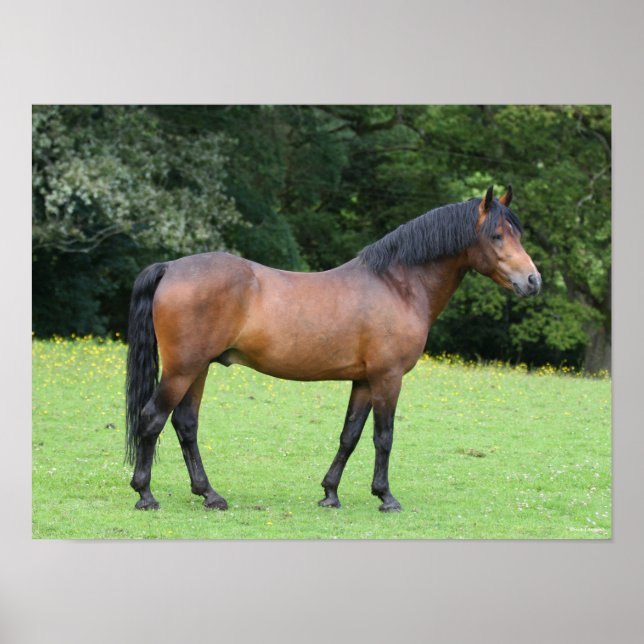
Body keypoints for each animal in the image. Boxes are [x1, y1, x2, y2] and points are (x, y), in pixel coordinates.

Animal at [125, 185, 541, 512]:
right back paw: (145, 494)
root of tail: (171, 267)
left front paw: (330, 493)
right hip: (183, 368)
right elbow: (383, 437)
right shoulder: (388, 378)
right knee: (152, 418)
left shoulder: (364, 381)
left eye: (516, 234)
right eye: (497, 236)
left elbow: (350, 436)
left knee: (185, 424)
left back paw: (209, 494)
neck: (397, 285)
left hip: (199, 368)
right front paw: (386, 497)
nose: (533, 280)